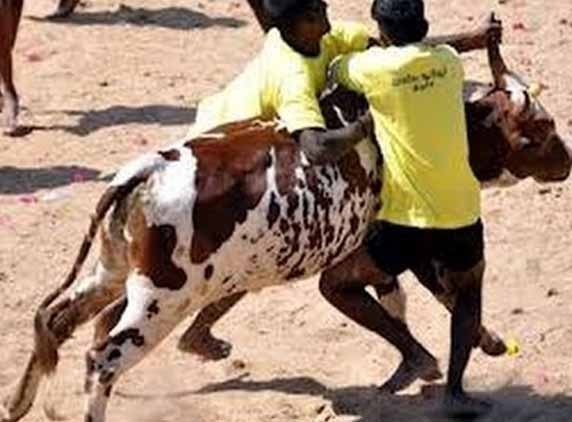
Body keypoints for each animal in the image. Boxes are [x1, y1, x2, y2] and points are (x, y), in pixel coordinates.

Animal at [1, 40, 572, 422]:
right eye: (540, 130)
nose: (566, 160)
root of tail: (147, 171)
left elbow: (403, 303)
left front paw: (444, 356)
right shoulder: (398, 247)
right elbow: (443, 297)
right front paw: (470, 348)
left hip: (112, 272)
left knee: (55, 320)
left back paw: (21, 401)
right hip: (161, 300)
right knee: (102, 357)